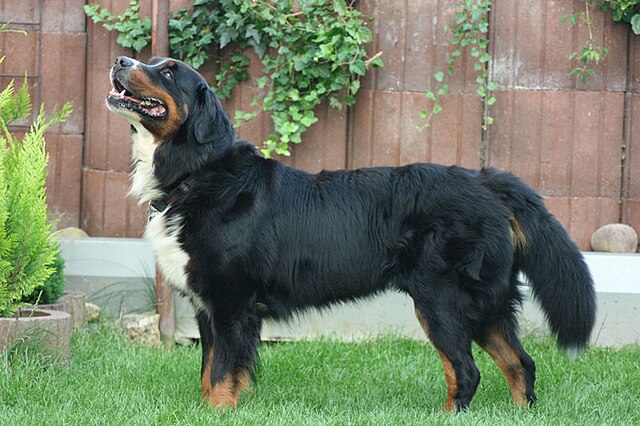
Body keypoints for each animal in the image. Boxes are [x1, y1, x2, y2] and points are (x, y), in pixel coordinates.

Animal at [105, 55, 596, 412]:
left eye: (168, 71)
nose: (120, 59)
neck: (199, 174)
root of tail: (487, 180)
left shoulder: (231, 304)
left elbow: (224, 373)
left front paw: (219, 414)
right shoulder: (208, 307)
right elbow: (210, 373)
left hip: (443, 301)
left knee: (466, 371)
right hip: (485, 303)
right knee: (521, 363)